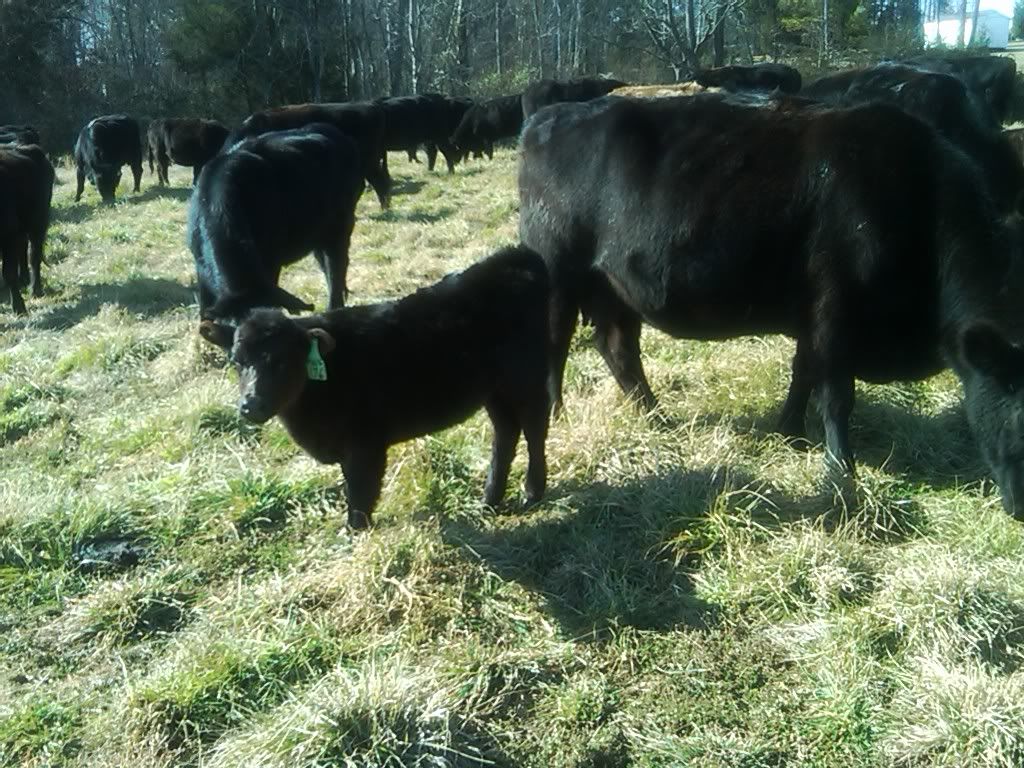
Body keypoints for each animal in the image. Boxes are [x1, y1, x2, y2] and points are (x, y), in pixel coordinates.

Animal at [0, 144, 54, 314]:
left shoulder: (8, 235)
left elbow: (8, 273)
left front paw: (18, 306)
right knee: (23, 248)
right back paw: (23, 278)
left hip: (39, 222)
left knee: (34, 255)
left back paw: (35, 288)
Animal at [197, 245, 551, 529]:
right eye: (236, 361)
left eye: (283, 361)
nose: (251, 405)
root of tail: (515, 255)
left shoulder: (365, 446)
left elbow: (360, 497)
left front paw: (355, 536)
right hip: (496, 390)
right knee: (506, 433)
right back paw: (490, 500)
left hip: (528, 376)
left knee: (535, 428)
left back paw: (532, 492)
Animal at [519, 92, 1024, 520]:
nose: (1019, 511)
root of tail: (550, 114)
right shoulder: (835, 311)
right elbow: (837, 396)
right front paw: (842, 470)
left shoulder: (813, 317)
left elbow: (804, 374)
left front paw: (789, 431)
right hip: (557, 275)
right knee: (555, 348)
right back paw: (560, 415)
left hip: (614, 287)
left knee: (618, 348)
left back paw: (657, 417)